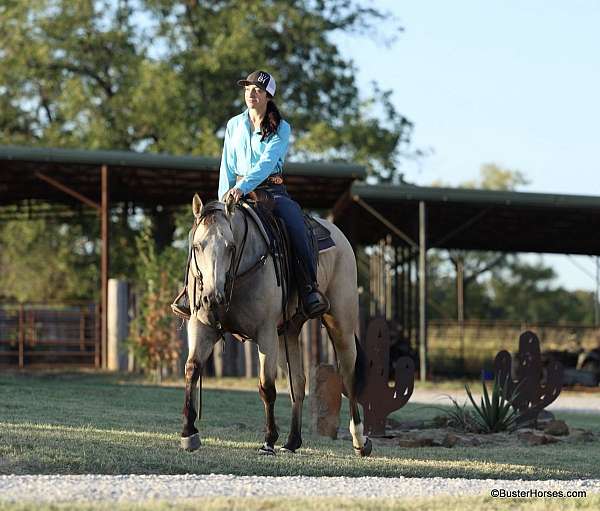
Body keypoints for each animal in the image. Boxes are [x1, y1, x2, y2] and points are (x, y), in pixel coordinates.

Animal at [180, 194, 372, 458]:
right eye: (198, 246)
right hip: (287, 333)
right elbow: (192, 369)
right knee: (298, 384)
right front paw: (188, 433)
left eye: (231, 247)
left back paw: (360, 441)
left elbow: (266, 387)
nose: (213, 297)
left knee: (348, 375)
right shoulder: (200, 326)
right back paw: (292, 441)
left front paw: (269, 441)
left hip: (341, 322)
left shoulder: (266, 333)